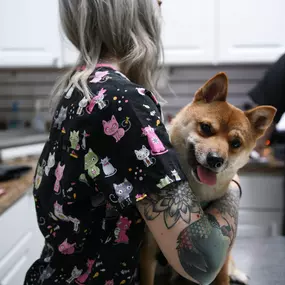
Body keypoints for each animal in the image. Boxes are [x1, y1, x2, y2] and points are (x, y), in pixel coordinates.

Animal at [141, 72, 276, 284]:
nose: (215, 160)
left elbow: (222, 277)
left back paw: (237, 273)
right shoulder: (148, 253)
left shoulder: (222, 258)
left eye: (235, 143)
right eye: (205, 127)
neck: (198, 192)